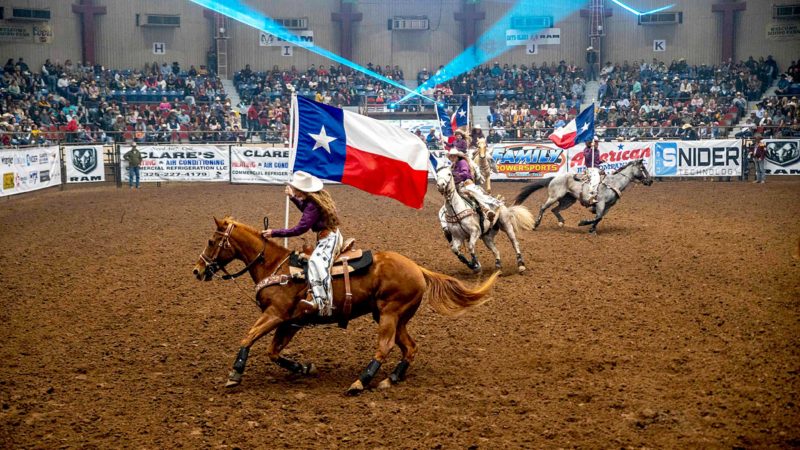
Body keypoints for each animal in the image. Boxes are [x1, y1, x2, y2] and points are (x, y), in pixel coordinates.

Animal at [192, 216, 500, 396]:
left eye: (211, 241)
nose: (197, 270)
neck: (275, 266)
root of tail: (418, 268)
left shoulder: (275, 315)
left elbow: (249, 338)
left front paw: (235, 374)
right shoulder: (290, 323)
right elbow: (273, 351)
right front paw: (304, 368)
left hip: (390, 314)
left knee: (385, 346)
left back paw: (360, 382)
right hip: (394, 317)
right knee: (410, 348)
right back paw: (391, 379)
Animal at [516, 159, 652, 236]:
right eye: (642, 168)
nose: (650, 181)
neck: (614, 183)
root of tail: (554, 177)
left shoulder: (608, 206)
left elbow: (599, 218)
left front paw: (592, 229)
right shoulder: (601, 203)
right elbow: (598, 217)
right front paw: (583, 223)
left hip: (568, 201)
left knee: (554, 210)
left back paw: (561, 222)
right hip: (554, 197)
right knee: (543, 207)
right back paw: (536, 224)